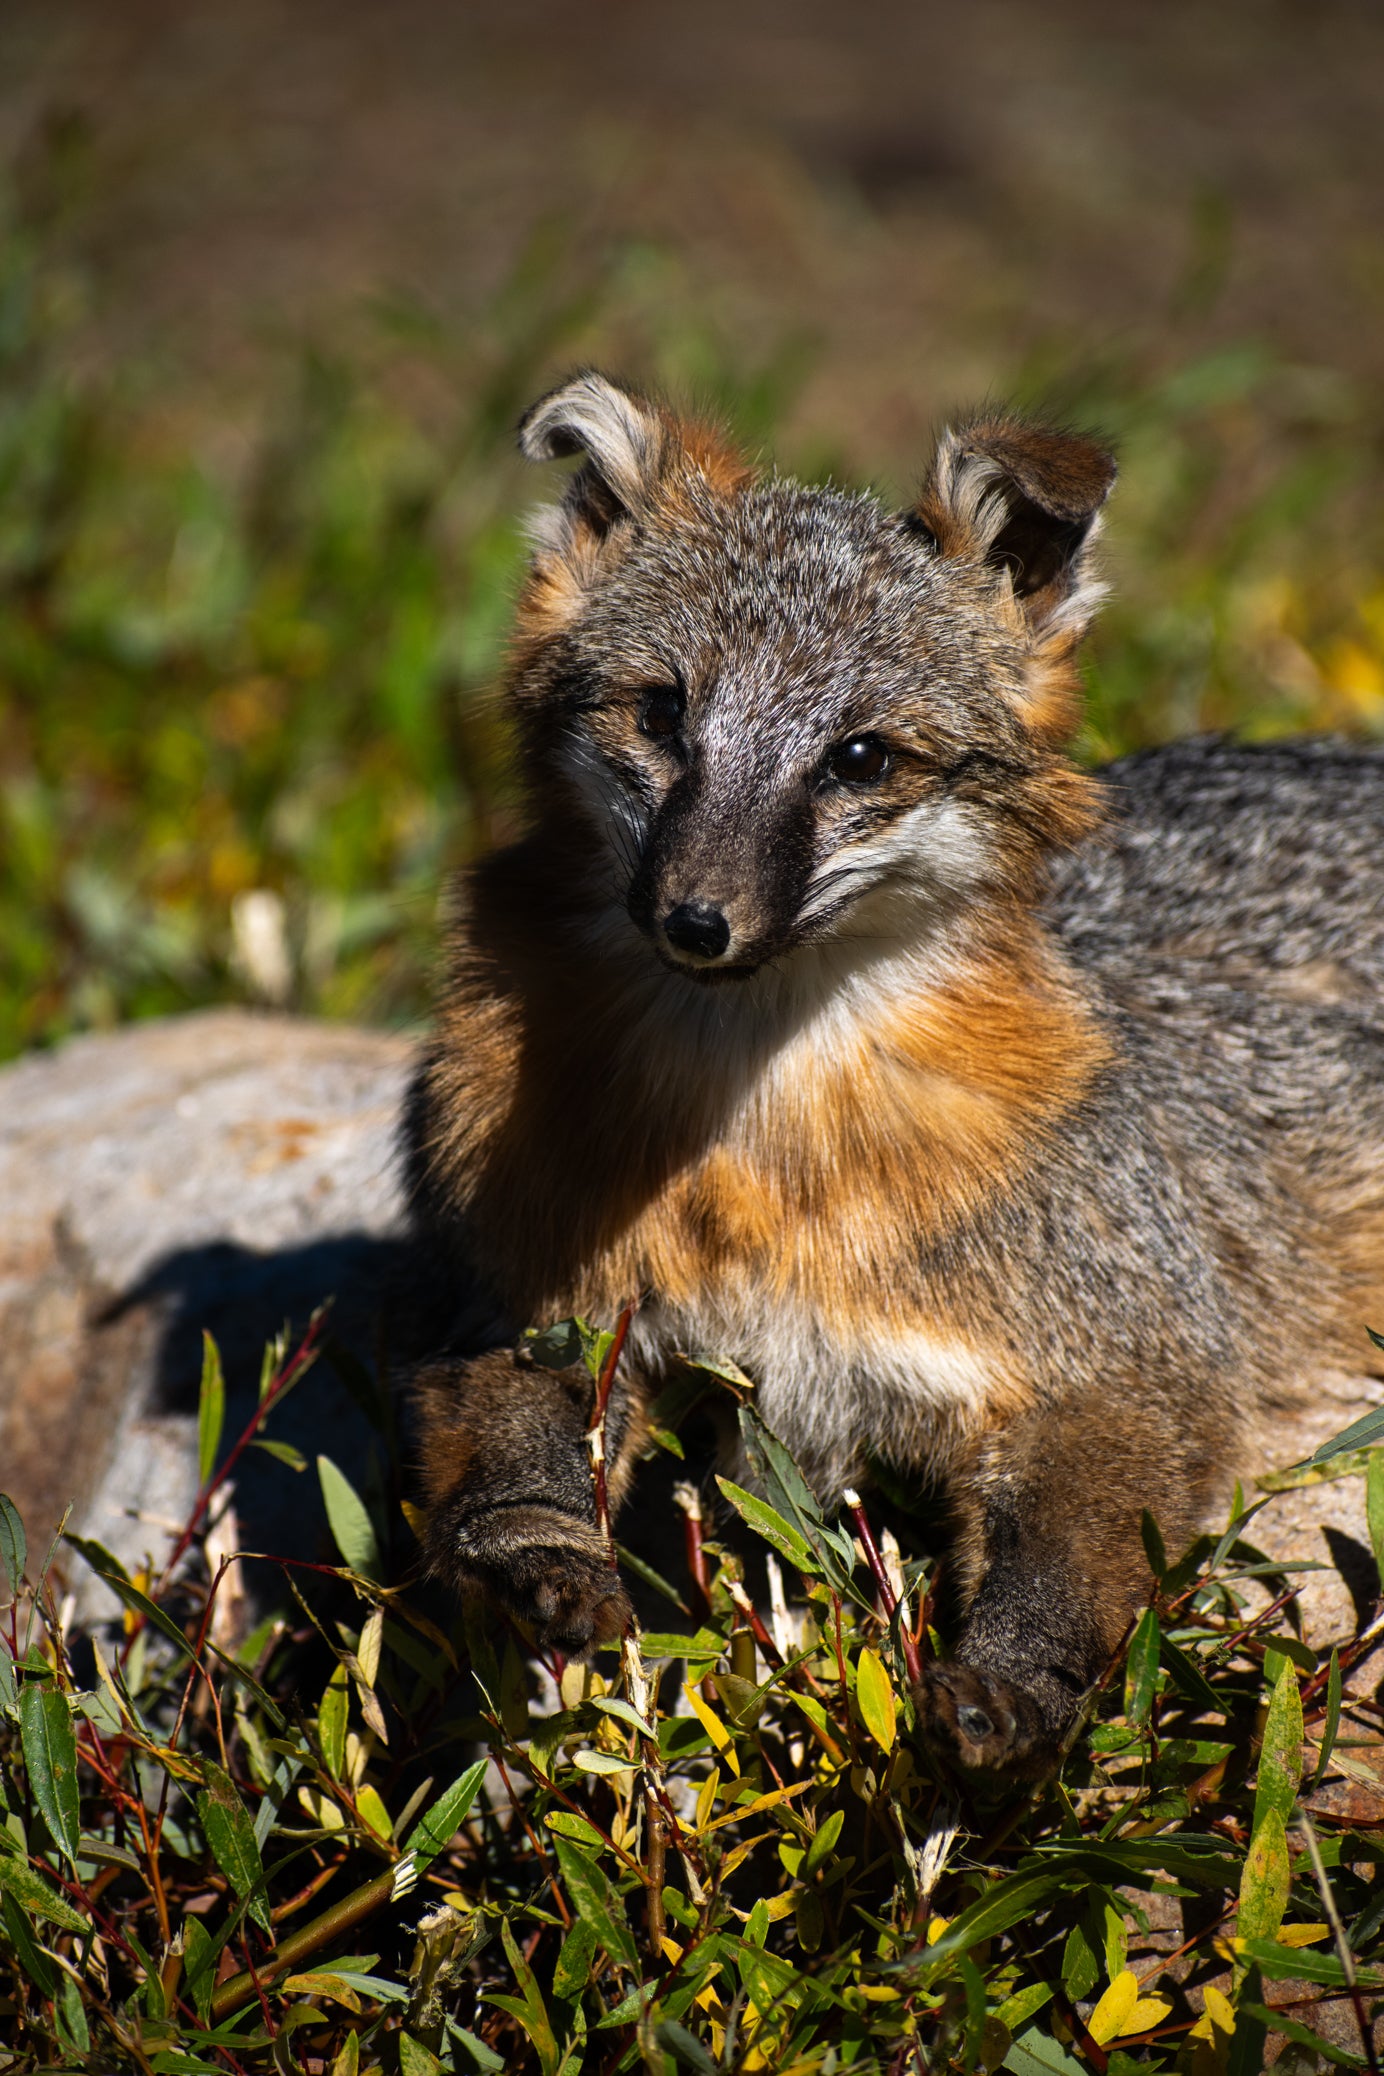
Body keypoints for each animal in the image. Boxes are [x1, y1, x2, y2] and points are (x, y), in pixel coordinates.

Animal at [403, 371, 1384, 1776]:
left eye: (859, 758)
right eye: (661, 712)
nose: (696, 918)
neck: (757, 1162)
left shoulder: (1126, 1358)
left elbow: (1073, 1555)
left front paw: (1013, 1680)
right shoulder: (526, 1297)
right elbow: (506, 1462)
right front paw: (543, 1555)